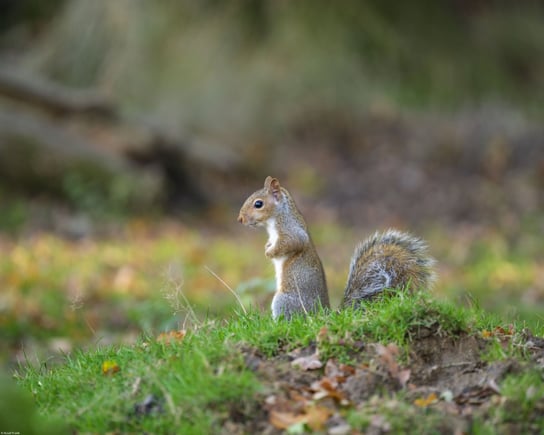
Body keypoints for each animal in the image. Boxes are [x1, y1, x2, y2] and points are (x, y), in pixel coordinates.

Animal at [238, 176, 434, 320]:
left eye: (258, 204)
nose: (240, 219)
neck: (276, 219)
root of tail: (323, 315)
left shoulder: (291, 232)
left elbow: (291, 244)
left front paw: (269, 252)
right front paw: (267, 247)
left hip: (284, 300)